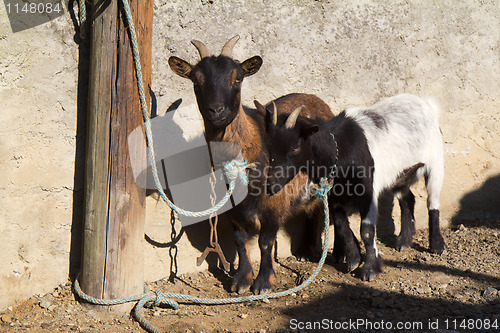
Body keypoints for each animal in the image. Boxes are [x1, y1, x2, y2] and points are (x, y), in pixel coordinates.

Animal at [170, 36, 334, 294]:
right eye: (196, 80)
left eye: (237, 78)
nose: (216, 110)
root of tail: (313, 98)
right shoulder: (232, 208)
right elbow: (239, 239)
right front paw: (242, 280)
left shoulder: (273, 203)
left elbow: (266, 242)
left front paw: (264, 282)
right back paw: (303, 250)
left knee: (319, 208)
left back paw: (312, 250)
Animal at [262, 93, 446, 280]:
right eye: (269, 148)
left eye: (295, 147)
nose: (271, 185)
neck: (340, 149)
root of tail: (425, 102)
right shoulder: (334, 194)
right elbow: (341, 224)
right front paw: (353, 259)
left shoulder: (368, 192)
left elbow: (366, 230)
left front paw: (370, 269)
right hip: (400, 173)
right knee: (407, 198)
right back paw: (404, 241)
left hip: (435, 161)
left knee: (433, 201)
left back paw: (437, 244)